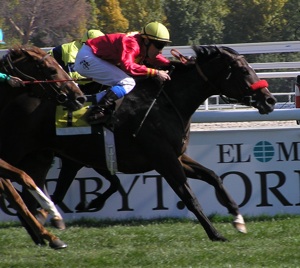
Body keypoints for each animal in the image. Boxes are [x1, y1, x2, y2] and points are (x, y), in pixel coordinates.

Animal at [0, 45, 276, 242]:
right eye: (243, 71)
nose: (269, 100)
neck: (167, 102)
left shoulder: (176, 157)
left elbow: (214, 177)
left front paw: (238, 219)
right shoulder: (164, 160)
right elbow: (189, 196)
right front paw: (216, 234)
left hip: (40, 156)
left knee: (30, 190)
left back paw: (44, 230)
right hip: (18, 151)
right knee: (16, 186)